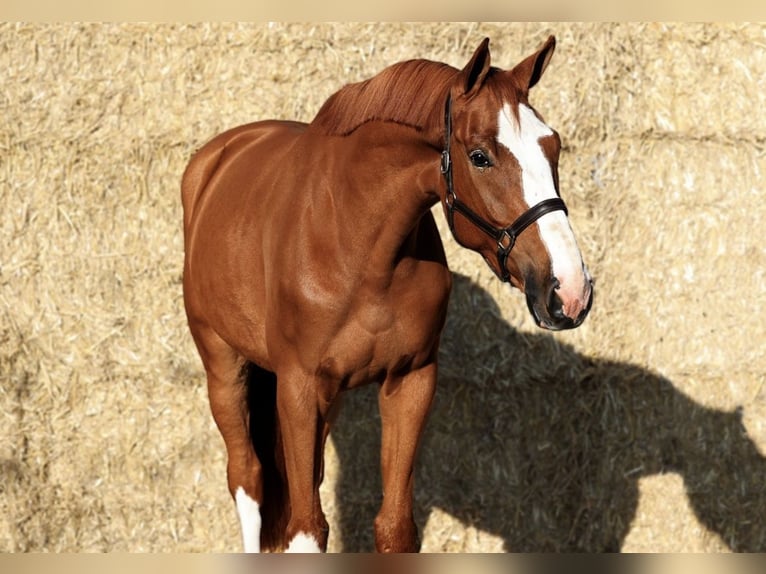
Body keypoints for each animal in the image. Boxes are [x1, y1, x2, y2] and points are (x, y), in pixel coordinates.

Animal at [181, 35, 593, 553]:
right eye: (480, 156)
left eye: (552, 145)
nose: (570, 290)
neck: (357, 245)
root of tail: (213, 160)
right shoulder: (298, 387)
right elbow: (306, 529)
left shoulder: (410, 381)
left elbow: (394, 527)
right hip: (223, 366)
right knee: (248, 480)